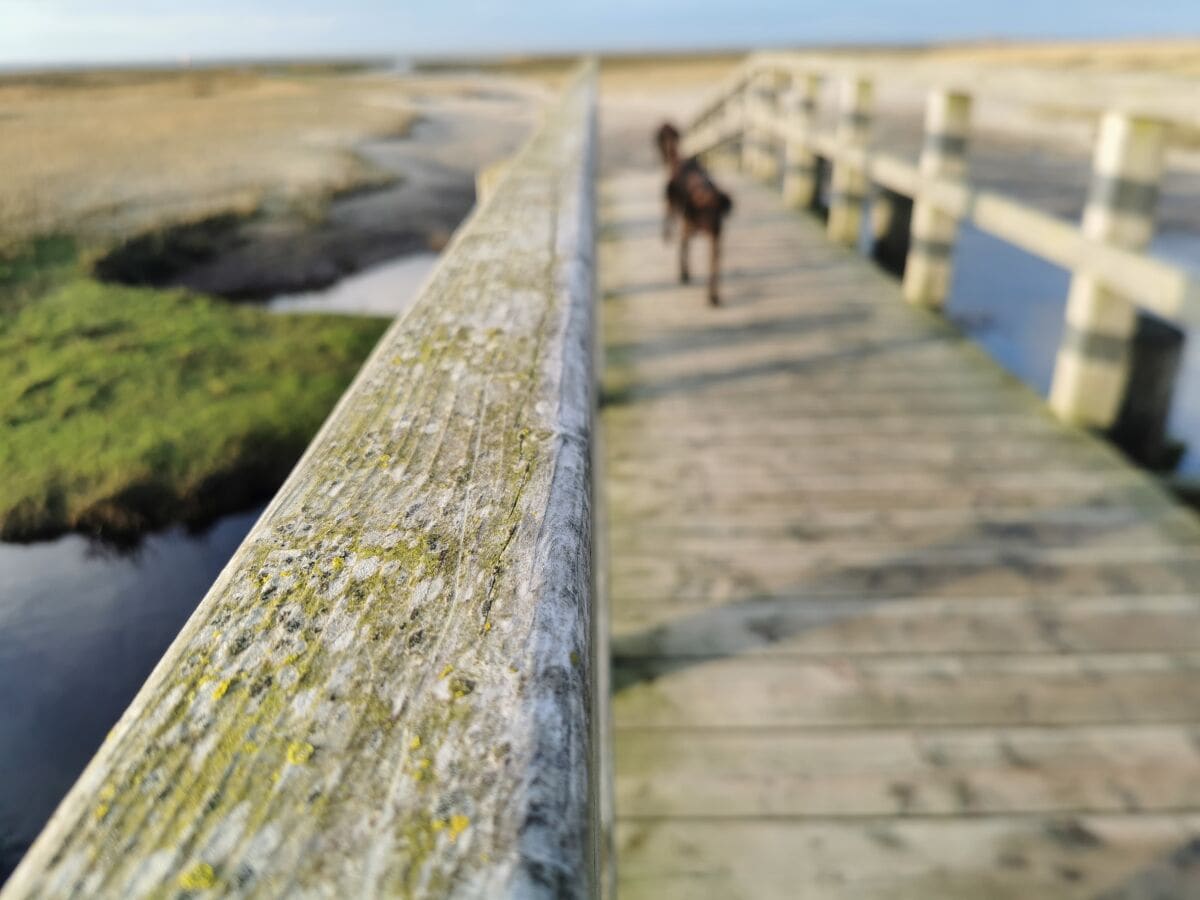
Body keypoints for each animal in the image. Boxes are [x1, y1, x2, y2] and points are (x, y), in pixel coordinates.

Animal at [657, 123, 729, 307]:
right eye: (703, 210)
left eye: (718, 210)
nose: (715, 228)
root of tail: (683, 159)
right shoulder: (686, 232)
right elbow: (683, 255)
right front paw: (684, 274)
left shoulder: (715, 243)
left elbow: (713, 270)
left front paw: (713, 296)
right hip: (670, 202)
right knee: (668, 215)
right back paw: (666, 234)